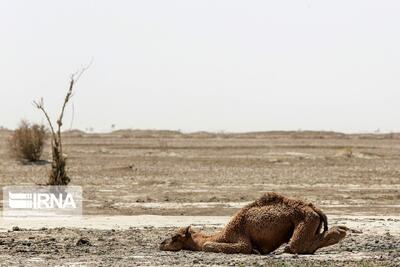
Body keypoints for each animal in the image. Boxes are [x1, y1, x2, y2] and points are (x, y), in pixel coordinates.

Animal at [159, 193, 346, 255]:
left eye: (174, 237)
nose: (161, 243)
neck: (223, 234)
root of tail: (314, 209)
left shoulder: (240, 237)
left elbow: (207, 246)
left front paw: (255, 251)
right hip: (311, 221)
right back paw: (341, 230)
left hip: (305, 219)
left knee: (295, 246)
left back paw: (340, 231)